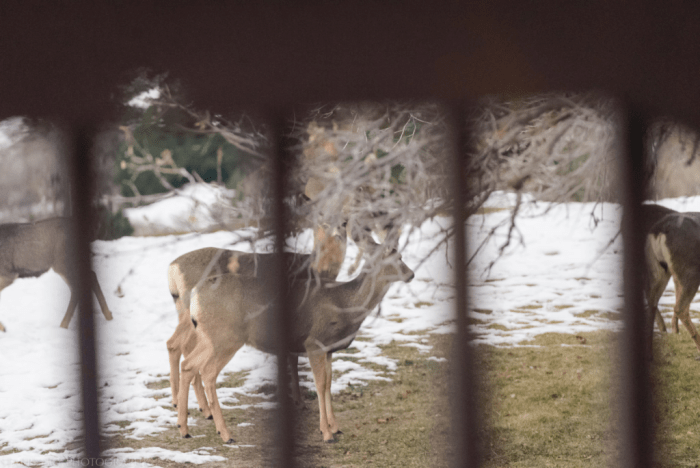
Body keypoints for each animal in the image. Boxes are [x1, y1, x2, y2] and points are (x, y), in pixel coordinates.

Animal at [166, 223, 347, 418]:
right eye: (321, 228)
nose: (340, 230)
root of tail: (172, 268)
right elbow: (293, 358)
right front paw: (299, 402)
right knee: (178, 345)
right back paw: (197, 409)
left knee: (178, 346)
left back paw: (191, 407)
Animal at [176, 246, 414, 444]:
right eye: (398, 258)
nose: (411, 274)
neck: (345, 304)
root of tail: (196, 295)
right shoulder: (314, 343)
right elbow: (320, 385)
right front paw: (326, 433)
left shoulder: (328, 349)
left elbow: (328, 384)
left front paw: (335, 427)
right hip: (226, 337)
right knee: (207, 372)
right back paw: (225, 434)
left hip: (209, 336)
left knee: (188, 365)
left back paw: (185, 429)